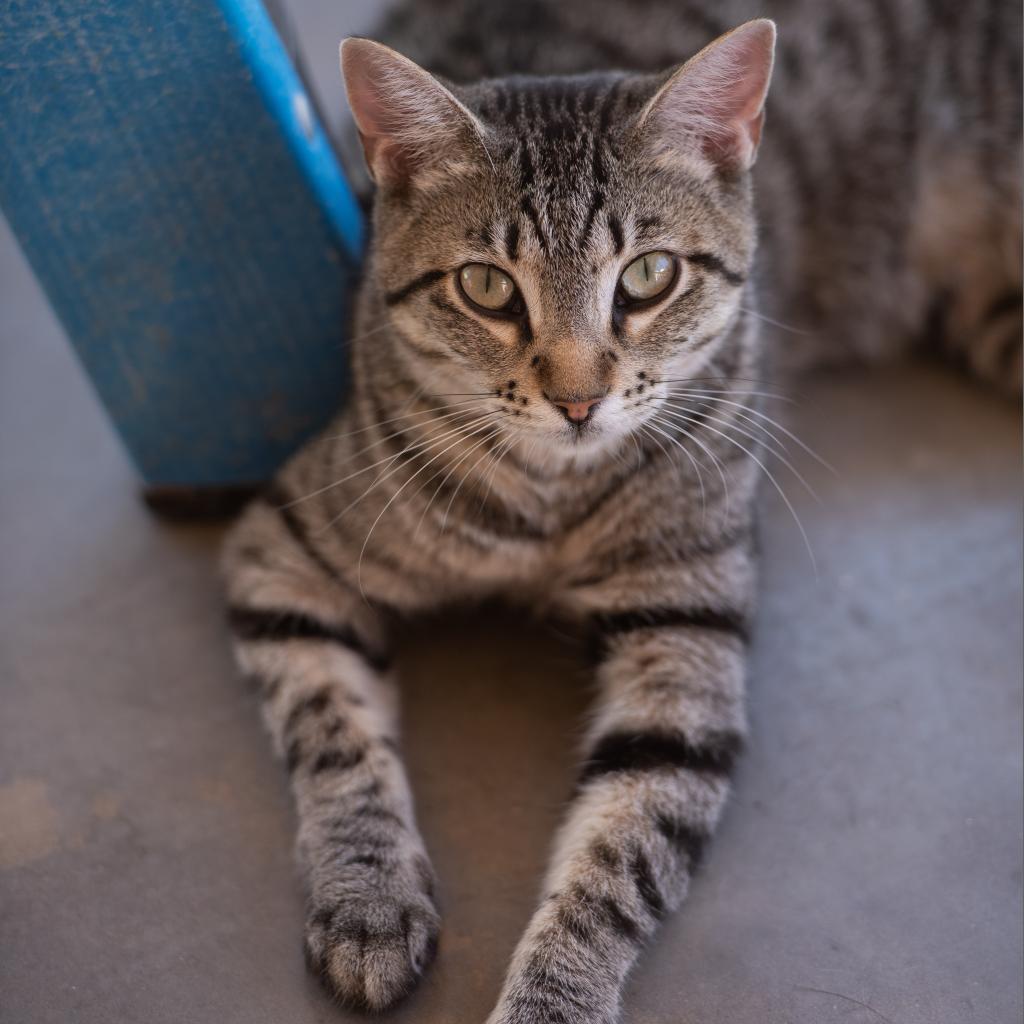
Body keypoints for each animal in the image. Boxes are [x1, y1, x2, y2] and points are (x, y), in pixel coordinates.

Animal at [220, 4, 1019, 1019]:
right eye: (486, 287)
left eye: (648, 277)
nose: (576, 401)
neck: (551, 504)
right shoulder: (283, 549)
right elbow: (335, 739)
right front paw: (368, 898)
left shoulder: (686, 632)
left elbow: (617, 856)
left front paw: (551, 996)